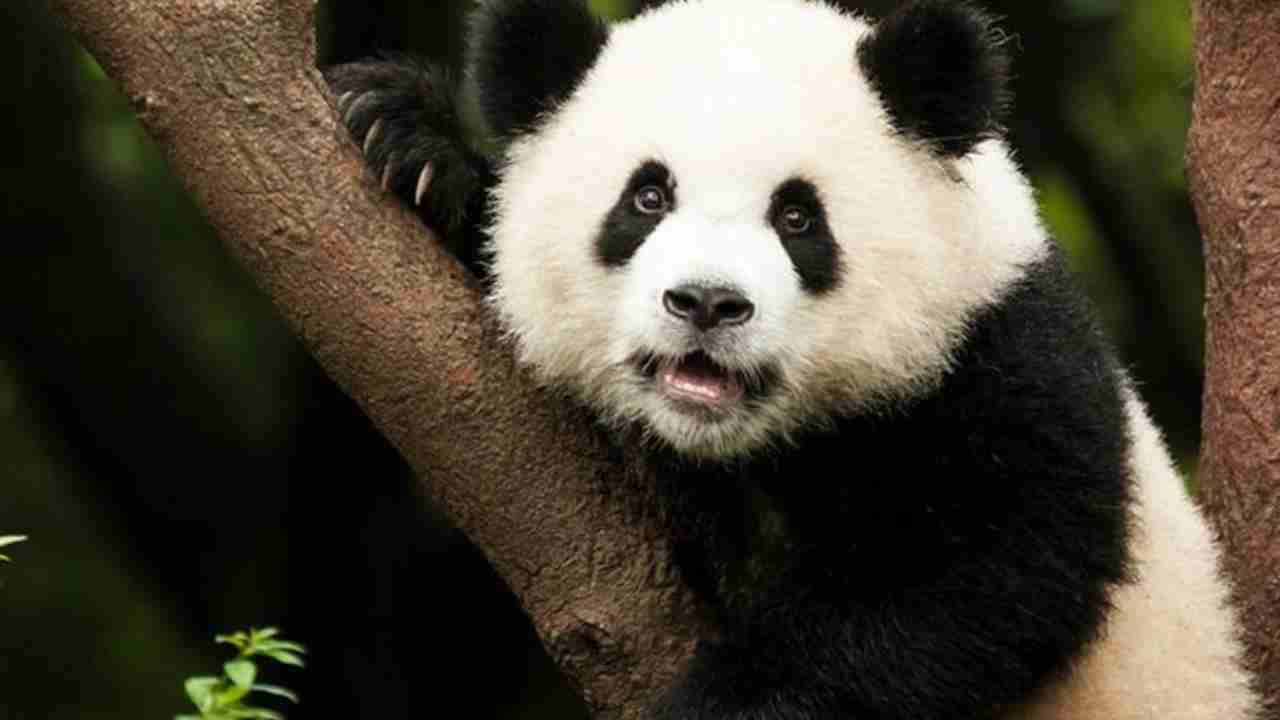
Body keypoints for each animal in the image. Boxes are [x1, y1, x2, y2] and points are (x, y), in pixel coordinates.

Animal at [325, 0, 1261, 718]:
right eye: (647, 197)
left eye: (798, 217)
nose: (708, 303)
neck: (742, 442)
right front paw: (411, 142)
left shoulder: (1001, 358)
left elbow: (983, 575)